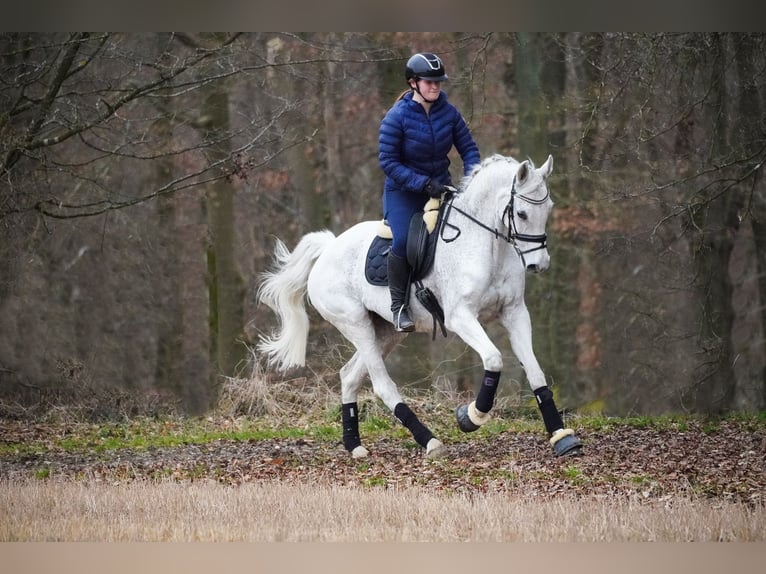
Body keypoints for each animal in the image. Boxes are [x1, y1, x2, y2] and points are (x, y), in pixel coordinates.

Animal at [256, 153, 584, 460]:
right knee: (382, 384)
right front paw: (470, 416)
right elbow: (493, 359)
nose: (538, 265)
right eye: (521, 213)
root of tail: (328, 248)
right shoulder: (460, 317)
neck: (488, 246)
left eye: (549, 208)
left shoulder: (515, 313)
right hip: (355, 323)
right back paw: (430, 441)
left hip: (386, 332)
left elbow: (535, 372)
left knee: (349, 376)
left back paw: (355, 445)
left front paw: (561, 437)